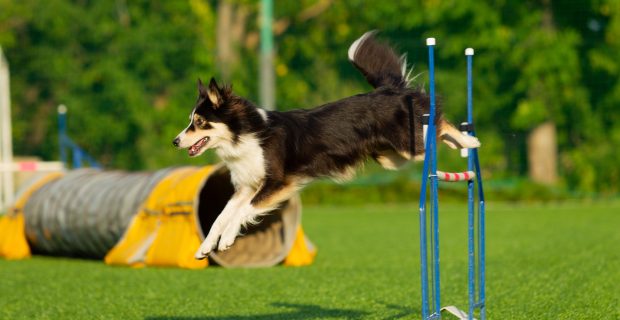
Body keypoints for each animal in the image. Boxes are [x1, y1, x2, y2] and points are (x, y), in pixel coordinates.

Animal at [173, 31, 480, 258]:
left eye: (199, 122)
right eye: (191, 121)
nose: (175, 141)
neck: (248, 133)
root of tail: (391, 90)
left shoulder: (277, 183)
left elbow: (244, 211)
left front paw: (225, 241)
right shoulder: (247, 185)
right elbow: (221, 216)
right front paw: (205, 247)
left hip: (410, 146)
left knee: (439, 121)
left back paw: (469, 139)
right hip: (392, 158)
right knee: (436, 132)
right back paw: (461, 144)